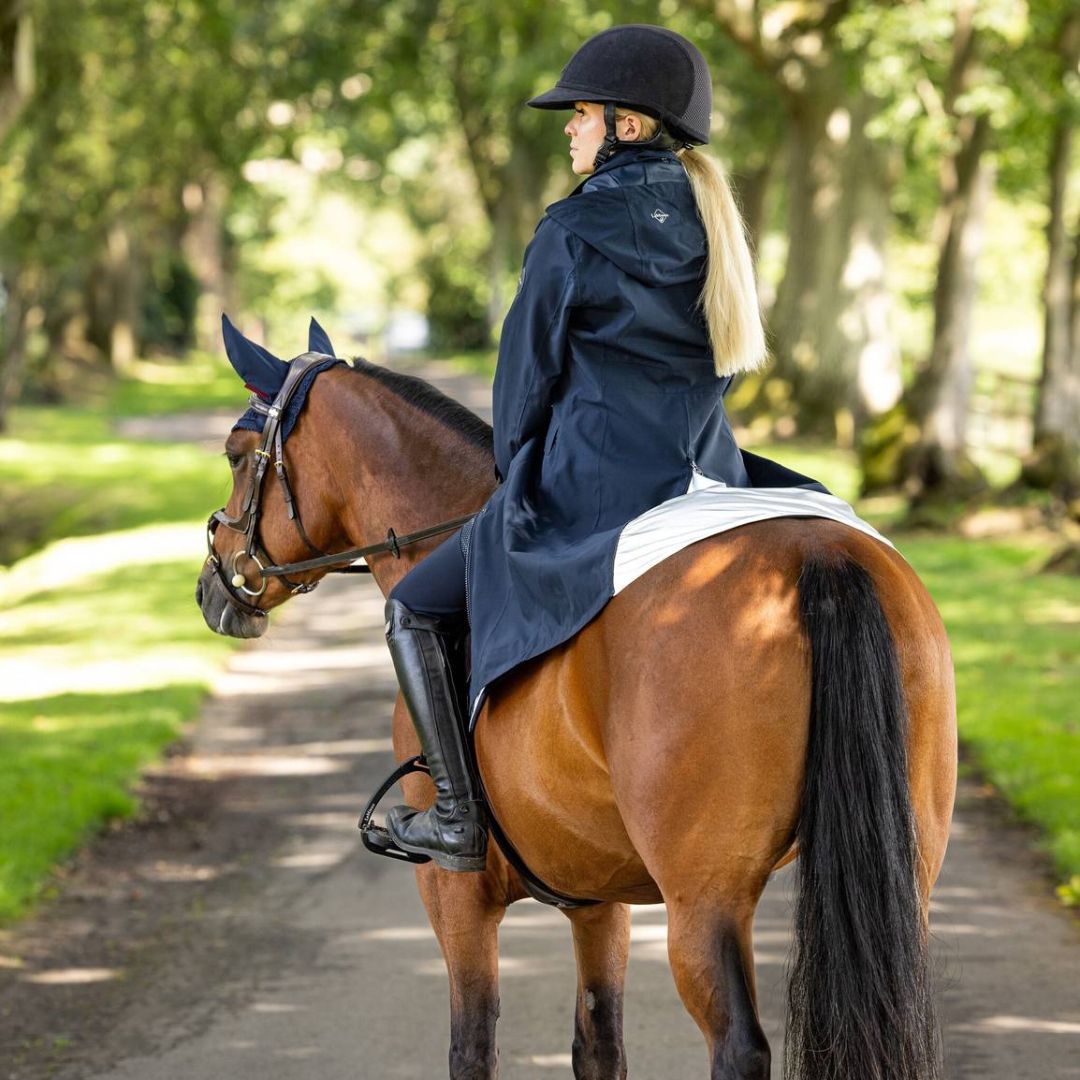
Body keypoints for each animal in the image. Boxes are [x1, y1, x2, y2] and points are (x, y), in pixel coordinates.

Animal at [194, 349, 954, 1075]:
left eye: (235, 453)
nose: (212, 581)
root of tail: (815, 554)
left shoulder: (454, 894)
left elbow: (472, 1048)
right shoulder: (598, 900)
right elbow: (599, 1046)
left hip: (705, 897)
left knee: (738, 1046)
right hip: (902, 872)